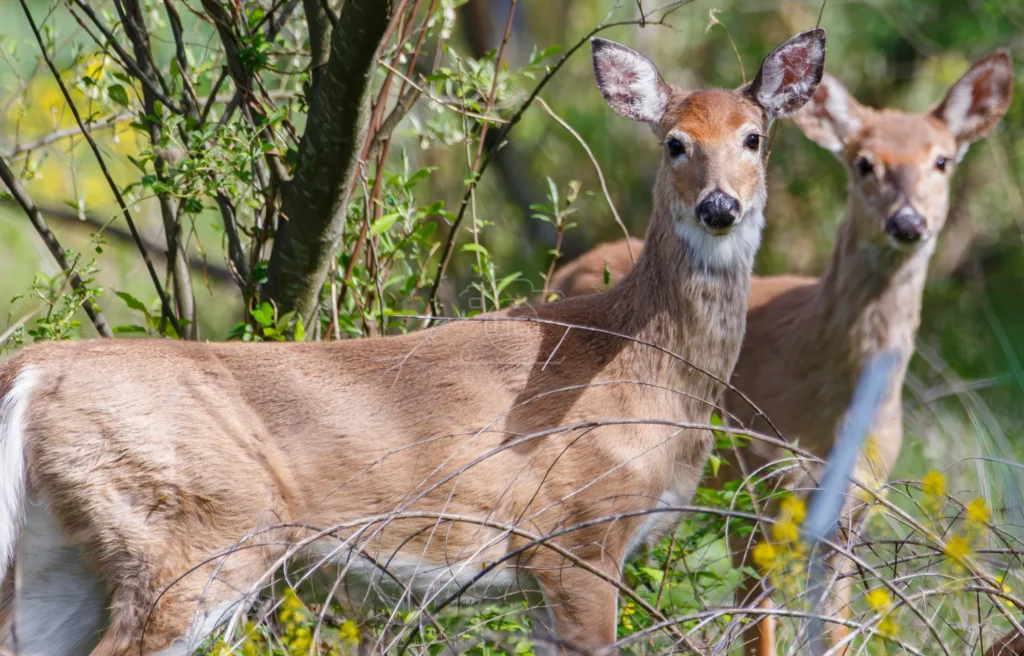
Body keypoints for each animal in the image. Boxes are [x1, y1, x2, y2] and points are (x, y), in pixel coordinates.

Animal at [0, 30, 827, 656]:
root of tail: (31, 373)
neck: (636, 365)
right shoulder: (576, 534)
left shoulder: (542, 573)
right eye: (674, 144)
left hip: (64, 558)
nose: (720, 207)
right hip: (192, 535)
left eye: (755, 138)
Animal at [549, 49, 1014, 655]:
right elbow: (756, 628)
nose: (909, 222)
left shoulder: (853, 503)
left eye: (942, 160)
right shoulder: (751, 486)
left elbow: (833, 629)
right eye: (863, 163)